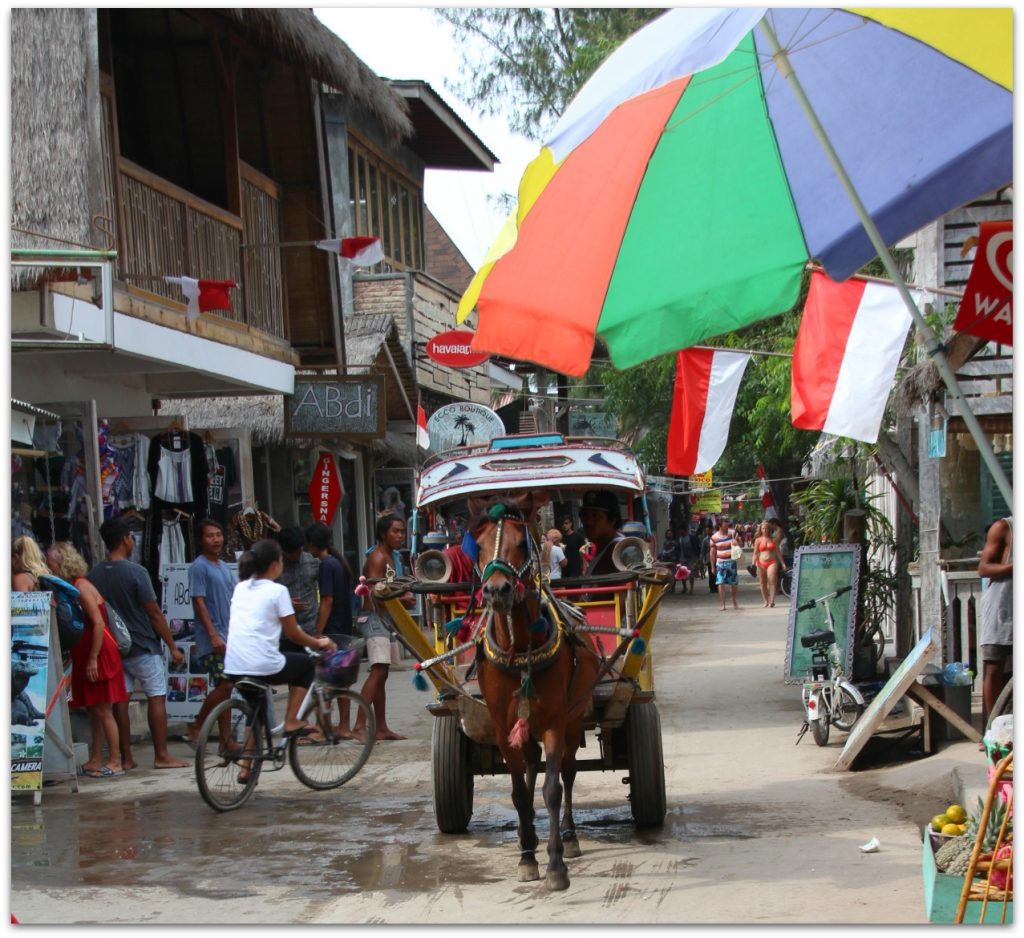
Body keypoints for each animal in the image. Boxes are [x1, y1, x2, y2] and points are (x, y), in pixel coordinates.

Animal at [466, 491, 598, 892]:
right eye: (477, 545)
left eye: (522, 543)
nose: (497, 590)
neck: (520, 650)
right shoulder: (501, 726)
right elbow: (519, 792)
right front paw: (527, 857)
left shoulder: (556, 720)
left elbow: (552, 789)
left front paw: (556, 865)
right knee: (529, 766)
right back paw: (532, 839)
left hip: (574, 719)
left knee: (567, 773)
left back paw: (569, 837)